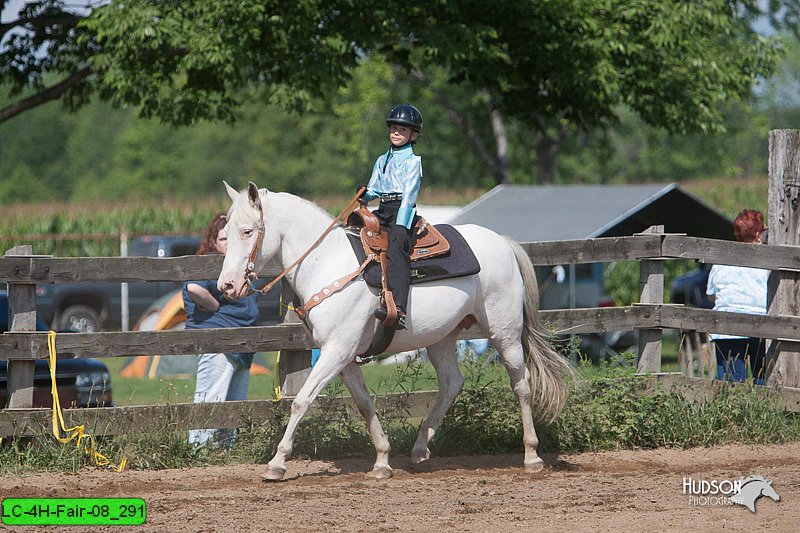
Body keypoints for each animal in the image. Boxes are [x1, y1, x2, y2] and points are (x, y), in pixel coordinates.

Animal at [216, 181, 572, 480]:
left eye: (247, 231)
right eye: (225, 234)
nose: (227, 286)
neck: (326, 263)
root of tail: (505, 243)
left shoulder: (336, 350)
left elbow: (301, 401)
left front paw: (276, 463)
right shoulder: (344, 357)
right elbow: (364, 404)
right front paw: (382, 461)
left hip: (505, 332)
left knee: (521, 384)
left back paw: (531, 456)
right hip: (442, 337)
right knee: (452, 383)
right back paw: (420, 448)